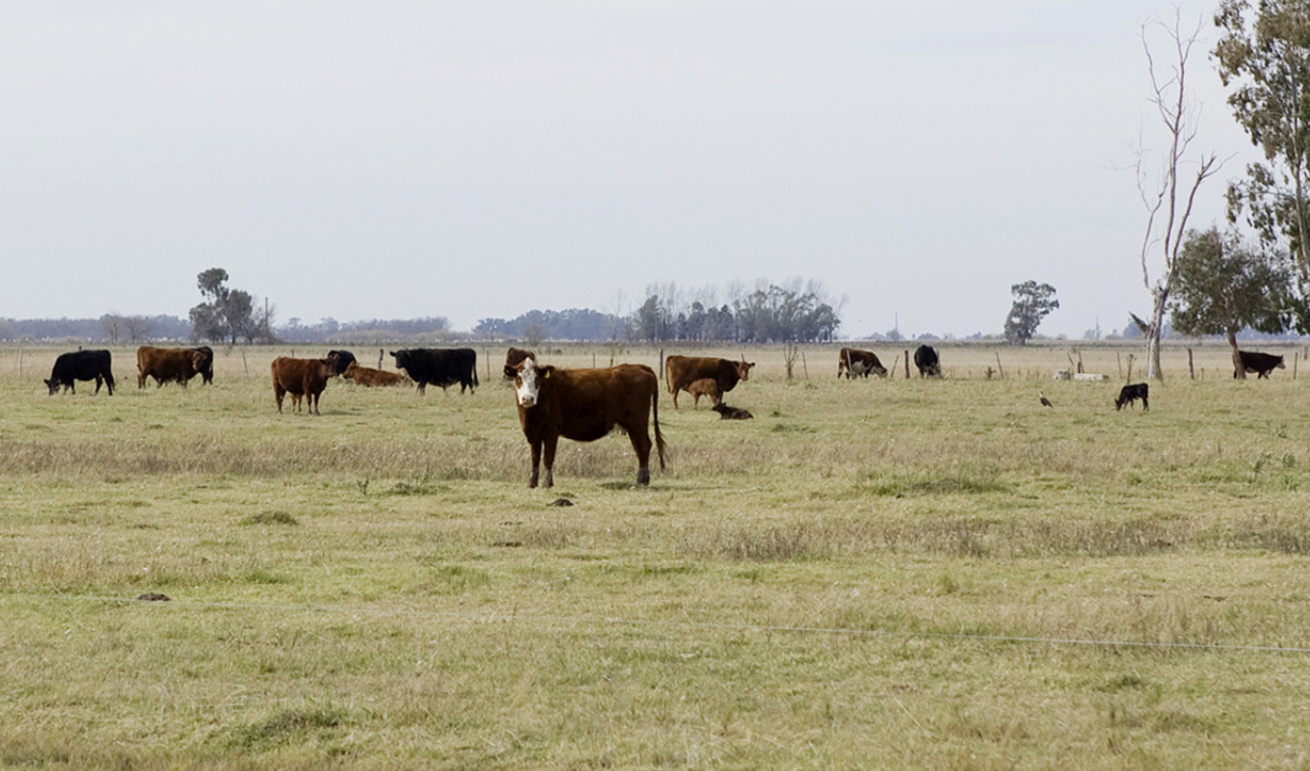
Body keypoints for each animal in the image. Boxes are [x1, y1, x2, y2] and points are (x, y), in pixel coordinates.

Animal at [510, 356, 665, 486]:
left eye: (537, 378)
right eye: (518, 377)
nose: (528, 398)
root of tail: (640, 367)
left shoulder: (551, 431)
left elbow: (548, 458)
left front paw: (548, 484)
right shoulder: (534, 433)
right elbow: (535, 458)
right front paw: (532, 483)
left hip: (638, 424)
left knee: (644, 447)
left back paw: (642, 480)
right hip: (634, 427)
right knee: (640, 449)